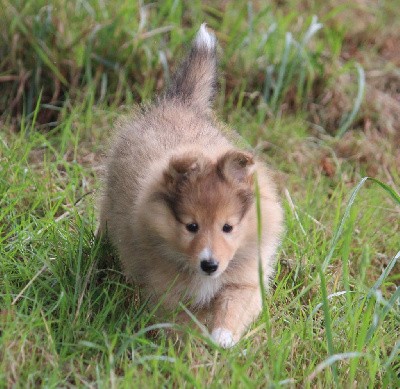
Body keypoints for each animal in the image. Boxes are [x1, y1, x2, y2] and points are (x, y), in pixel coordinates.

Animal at [98, 23, 282, 346]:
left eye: (228, 227)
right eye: (191, 226)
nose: (210, 265)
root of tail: (179, 102)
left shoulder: (245, 282)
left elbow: (232, 309)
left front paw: (222, 339)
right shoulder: (165, 294)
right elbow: (183, 326)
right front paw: (195, 350)